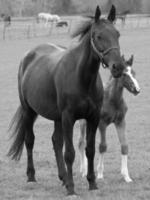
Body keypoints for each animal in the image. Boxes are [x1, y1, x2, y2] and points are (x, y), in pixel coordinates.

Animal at [8, 5, 125, 195]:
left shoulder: (93, 118)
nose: (118, 67)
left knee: (56, 142)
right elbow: (70, 153)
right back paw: (32, 176)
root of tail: (29, 56)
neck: (82, 78)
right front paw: (71, 188)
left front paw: (92, 183)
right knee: (30, 140)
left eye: (117, 34)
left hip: (57, 118)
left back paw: (63, 177)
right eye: (98, 36)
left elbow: (90, 150)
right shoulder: (69, 117)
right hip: (29, 111)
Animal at [79, 55, 140, 183]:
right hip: (82, 122)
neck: (112, 99)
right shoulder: (102, 123)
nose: (137, 90)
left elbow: (124, 146)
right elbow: (103, 146)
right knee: (81, 143)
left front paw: (126, 176)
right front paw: (100, 174)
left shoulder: (121, 122)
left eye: (133, 72)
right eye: (124, 74)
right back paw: (84, 170)